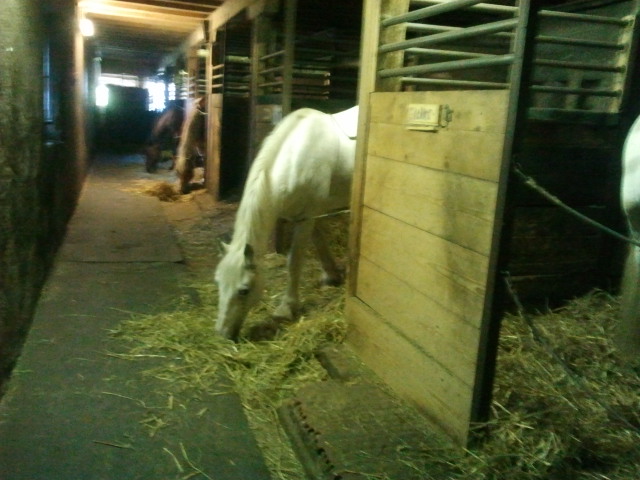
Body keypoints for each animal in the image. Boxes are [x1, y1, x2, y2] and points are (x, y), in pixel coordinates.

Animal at [214, 106, 358, 341]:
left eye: (244, 290)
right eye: (218, 283)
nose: (223, 334)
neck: (295, 157)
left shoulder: (305, 219)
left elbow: (294, 262)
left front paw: (287, 308)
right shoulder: (307, 215)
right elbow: (319, 242)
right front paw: (332, 275)